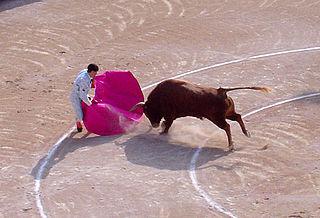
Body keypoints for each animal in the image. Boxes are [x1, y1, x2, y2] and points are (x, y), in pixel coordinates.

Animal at [130, 79, 270, 151]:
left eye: (148, 112)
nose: (154, 125)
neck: (160, 97)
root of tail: (221, 91)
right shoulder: (171, 116)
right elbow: (167, 124)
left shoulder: (170, 115)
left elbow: (167, 125)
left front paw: (162, 132)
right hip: (227, 114)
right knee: (238, 117)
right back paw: (246, 133)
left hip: (217, 118)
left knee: (227, 127)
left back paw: (231, 145)